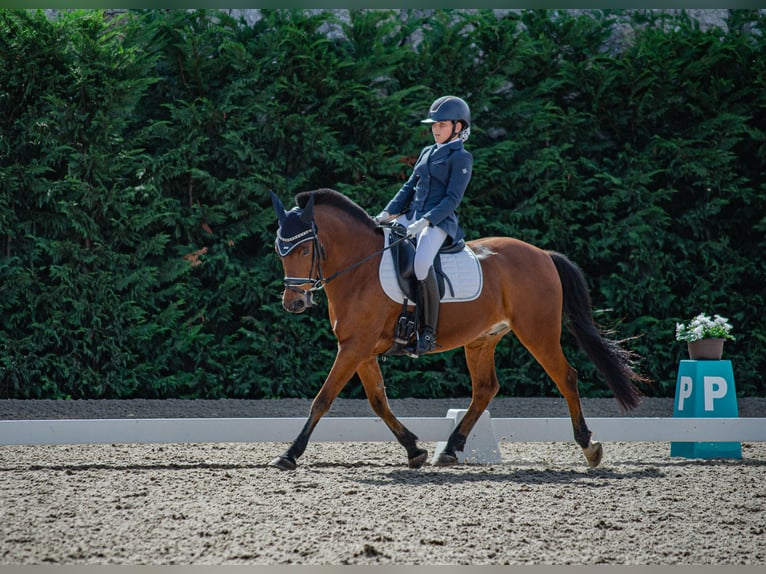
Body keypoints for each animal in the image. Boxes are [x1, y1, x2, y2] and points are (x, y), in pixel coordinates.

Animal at [270, 189, 648, 472]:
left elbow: (322, 399)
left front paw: (289, 454)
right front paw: (414, 450)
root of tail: (542, 254)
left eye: (306, 248)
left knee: (565, 376)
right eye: (280, 249)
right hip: (481, 340)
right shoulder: (360, 349)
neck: (359, 269)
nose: (294, 303)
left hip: (537, 332)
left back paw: (589, 446)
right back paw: (450, 449)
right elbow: (378, 401)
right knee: (485, 388)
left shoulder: (354, 347)